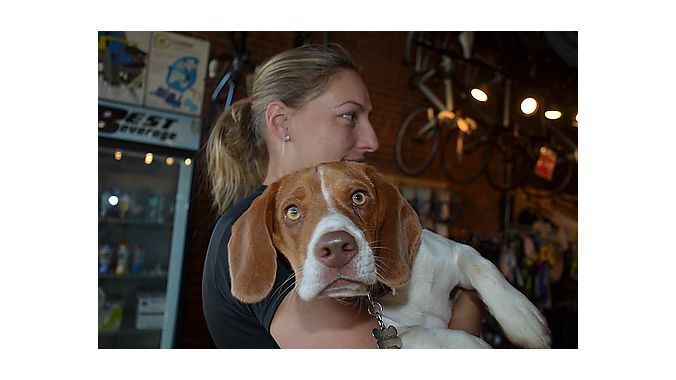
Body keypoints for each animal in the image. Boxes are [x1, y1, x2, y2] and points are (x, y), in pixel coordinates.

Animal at [227, 162, 548, 348]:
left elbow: (481, 263)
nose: (336, 248)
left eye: (358, 197)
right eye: (292, 212)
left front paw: (524, 320)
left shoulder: (451, 251)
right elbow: (418, 332)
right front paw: (473, 344)